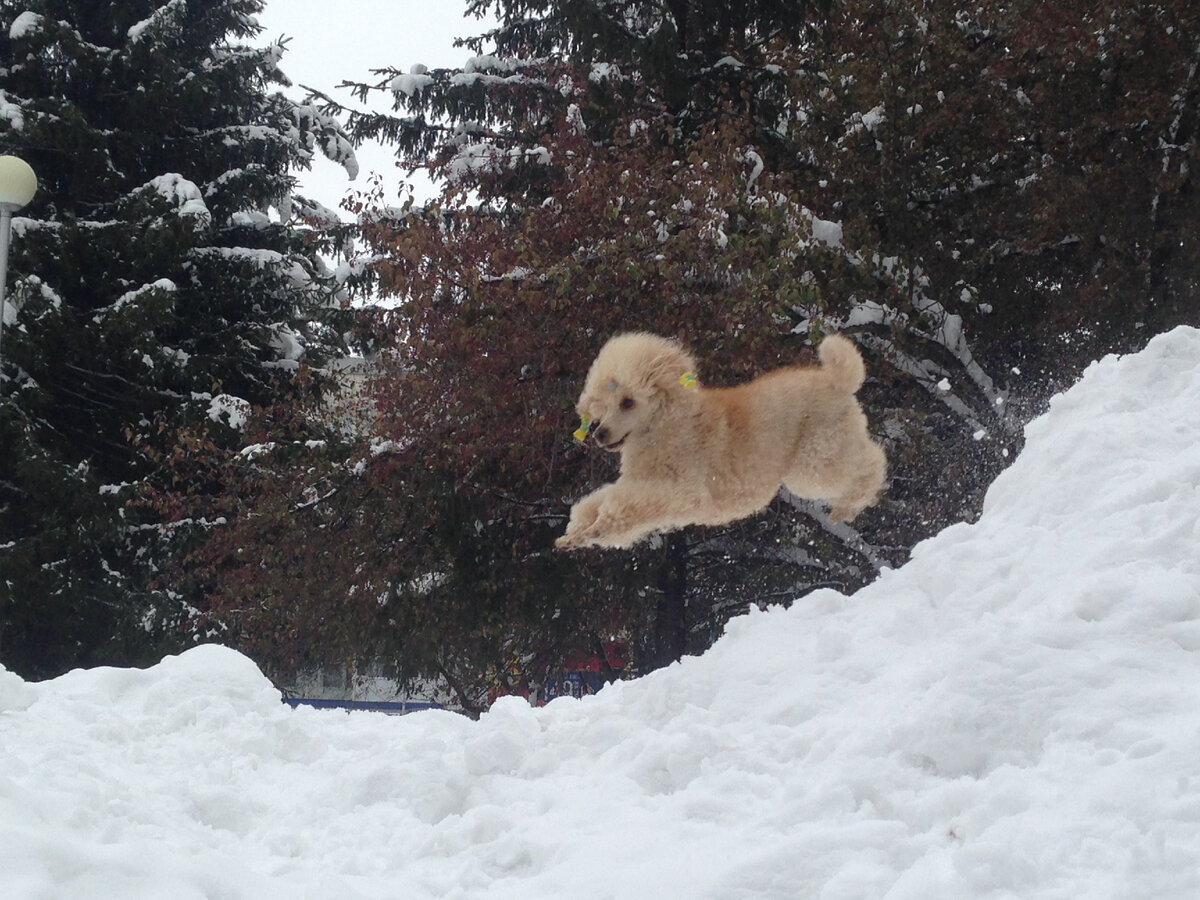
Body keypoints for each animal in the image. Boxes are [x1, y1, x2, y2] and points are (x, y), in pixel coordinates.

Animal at [556, 336, 888, 554]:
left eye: (628, 402)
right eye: (603, 402)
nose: (599, 433)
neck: (666, 425)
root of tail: (839, 380)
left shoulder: (678, 492)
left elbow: (623, 509)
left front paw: (597, 528)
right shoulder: (637, 483)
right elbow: (596, 503)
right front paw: (576, 535)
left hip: (815, 460)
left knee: (871, 463)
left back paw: (847, 507)